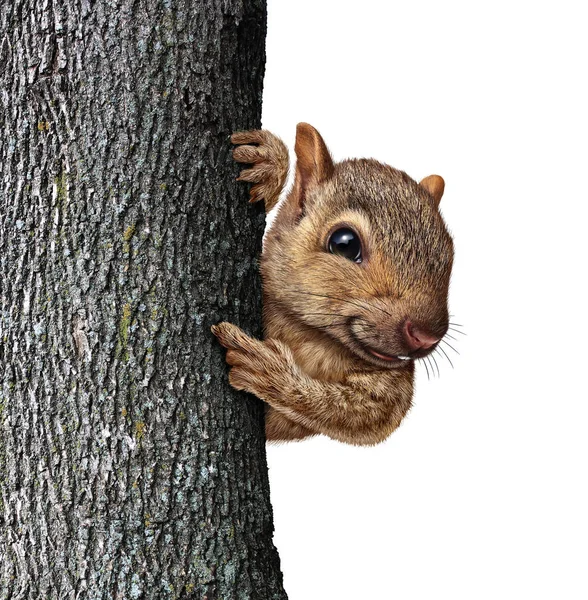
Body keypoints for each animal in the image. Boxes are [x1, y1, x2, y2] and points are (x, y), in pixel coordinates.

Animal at [211, 123, 454, 446]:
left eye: (450, 253)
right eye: (345, 244)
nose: (426, 336)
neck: (314, 336)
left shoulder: (393, 386)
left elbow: (360, 415)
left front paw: (269, 371)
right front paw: (269, 164)